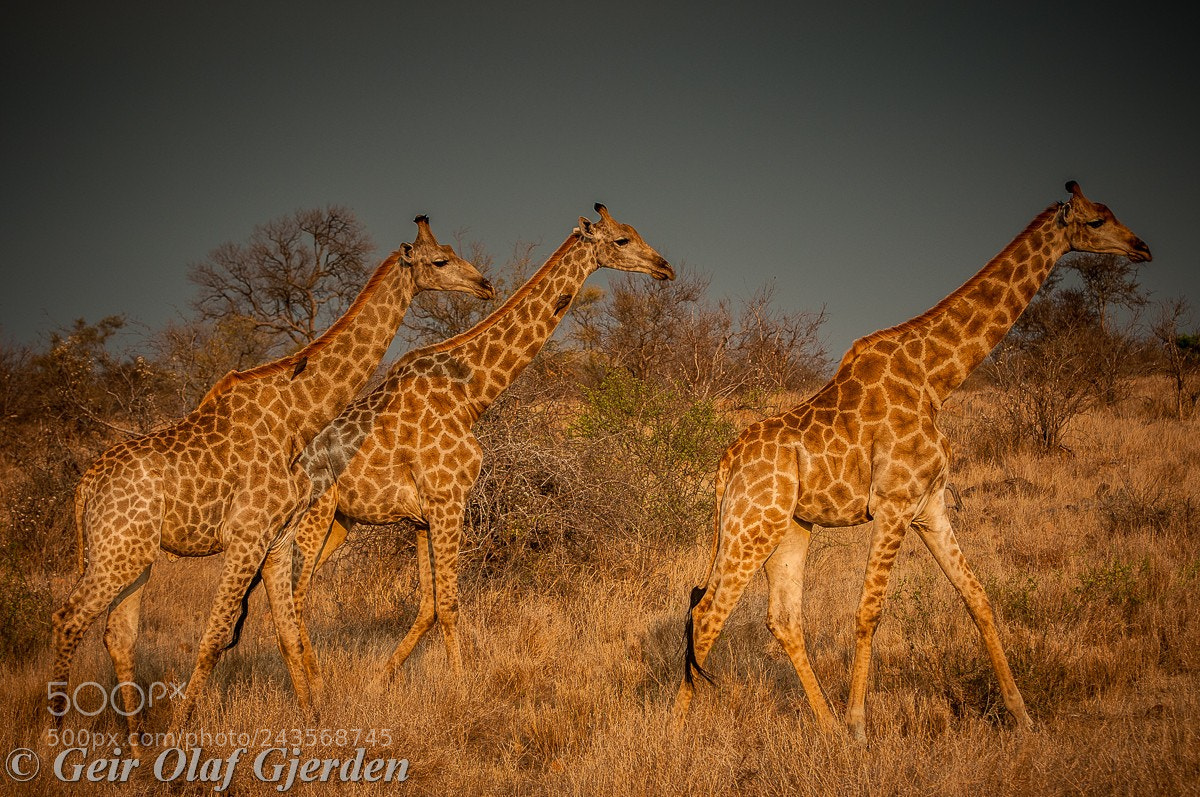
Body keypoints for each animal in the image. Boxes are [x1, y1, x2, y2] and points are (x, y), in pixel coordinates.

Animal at [49, 216, 495, 741]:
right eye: (440, 261)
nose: (485, 285)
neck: (295, 415)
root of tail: (85, 486)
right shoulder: (247, 535)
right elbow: (215, 637)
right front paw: (178, 737)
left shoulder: (278, 539)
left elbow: (286, 632)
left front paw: (313, 724)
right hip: (115, 554)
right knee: (67, 619)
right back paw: (52, 743)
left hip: (132, 555)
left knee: (117, 635)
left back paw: (135, 748)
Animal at [283, 204, 672, 684]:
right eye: (621, 240)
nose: (664, 267)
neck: (470, 396)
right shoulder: (448, 500)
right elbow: (449, 604)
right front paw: (460, 685)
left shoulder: (423, 516)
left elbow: (428, 605)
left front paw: (381, 678)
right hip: (313, 516)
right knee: (289, 595)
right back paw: (310, 686)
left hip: (339, 521)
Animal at [673, 182, 1151, 741]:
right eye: (1097, 221)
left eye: (1112, 212)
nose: (1142, 247)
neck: (937, 378)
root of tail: (725, 464)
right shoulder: (894, 504)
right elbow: (869, 611)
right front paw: (861, 726)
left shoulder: (931, 505)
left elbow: (978, 598)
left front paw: (1023, 715)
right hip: (752, 524)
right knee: (708, 612)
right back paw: (677, 732)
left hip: (788, 527)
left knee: (782, 617)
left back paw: (827, 728)